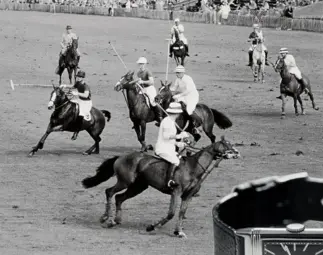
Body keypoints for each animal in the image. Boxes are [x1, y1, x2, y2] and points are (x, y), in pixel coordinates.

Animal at [82, 136, 242, 238]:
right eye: (227, 144)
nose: (237, 153)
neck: (193, 168)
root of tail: (121, 157)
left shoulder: (188, 196)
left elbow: (181, 213)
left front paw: (178, 232)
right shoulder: (176, 192)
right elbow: (171, 213)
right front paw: (152, 226)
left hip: (137, 187)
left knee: (119, 198)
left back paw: (115, 220)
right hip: (125, 182)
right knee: (109, 192)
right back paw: (106, 218)